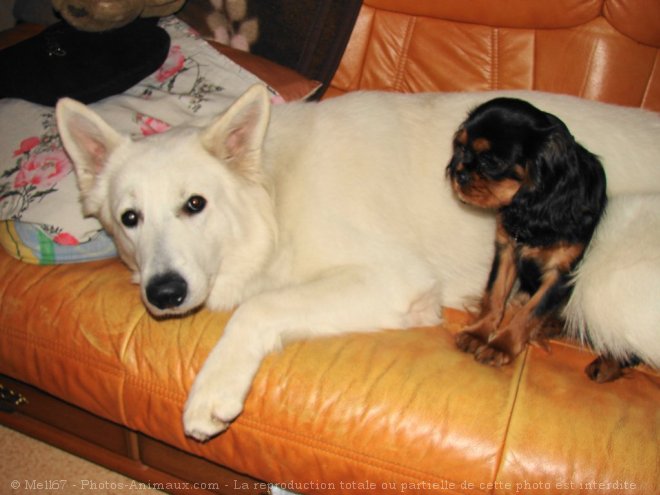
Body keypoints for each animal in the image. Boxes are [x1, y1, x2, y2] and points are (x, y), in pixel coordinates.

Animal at [448, 97, 608, 368]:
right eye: (460, 147)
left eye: (491, 161)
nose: (459, 174)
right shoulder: (507, 250)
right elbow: (494, 295)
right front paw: (478, 333)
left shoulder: (561, 273)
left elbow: (530, 312)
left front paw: (500, 346)